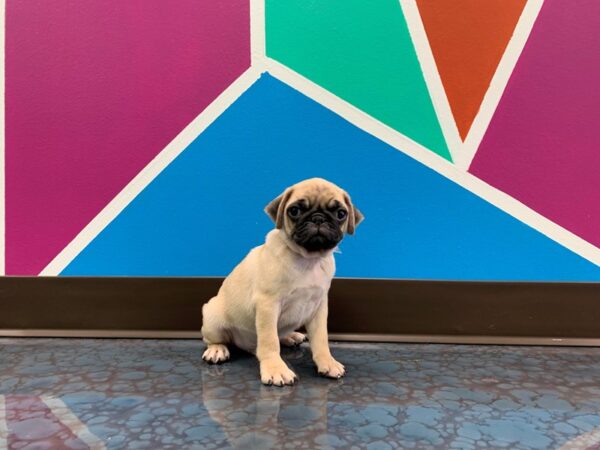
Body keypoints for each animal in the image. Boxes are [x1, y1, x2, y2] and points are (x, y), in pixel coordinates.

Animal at [202, 178, 364, 386]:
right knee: (216, 339)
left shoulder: (319, 307)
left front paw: (327, 362)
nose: (318, 218)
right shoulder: (268, 305)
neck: (308, 259)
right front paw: (275, 369)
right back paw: (217, 350)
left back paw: (290, 336)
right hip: (213, 316)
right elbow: (270, 341)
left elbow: (321, 339)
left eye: (341, 213)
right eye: (294, 210)